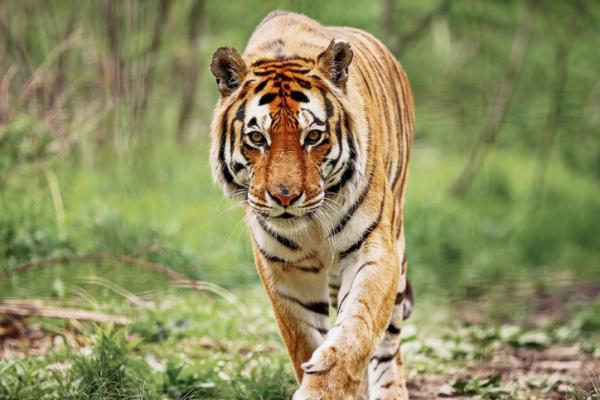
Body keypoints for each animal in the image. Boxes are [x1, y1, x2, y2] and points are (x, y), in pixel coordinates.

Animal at [210, 10, 412, 398]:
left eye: (313, 136)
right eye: (257, 138)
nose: (285, 196)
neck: (312, 225)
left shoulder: (373, 248)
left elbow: (357, 326)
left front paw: (326, 387)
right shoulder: (285, 268)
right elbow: (304, 339)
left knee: (389, 347)